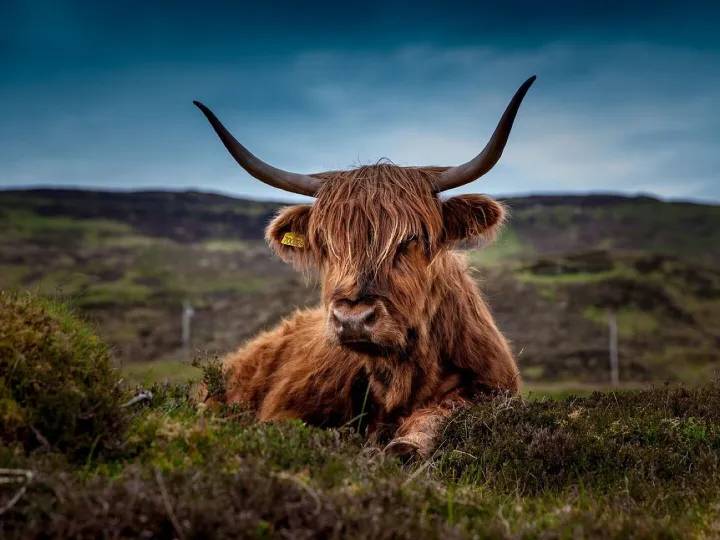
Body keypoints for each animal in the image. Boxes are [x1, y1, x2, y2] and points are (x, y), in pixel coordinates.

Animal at [191, 75, 536, 459]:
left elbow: (441, 414)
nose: (353, 319)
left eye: (412, 238)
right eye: (326, 243)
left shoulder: (491, 389)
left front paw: (406, 444)